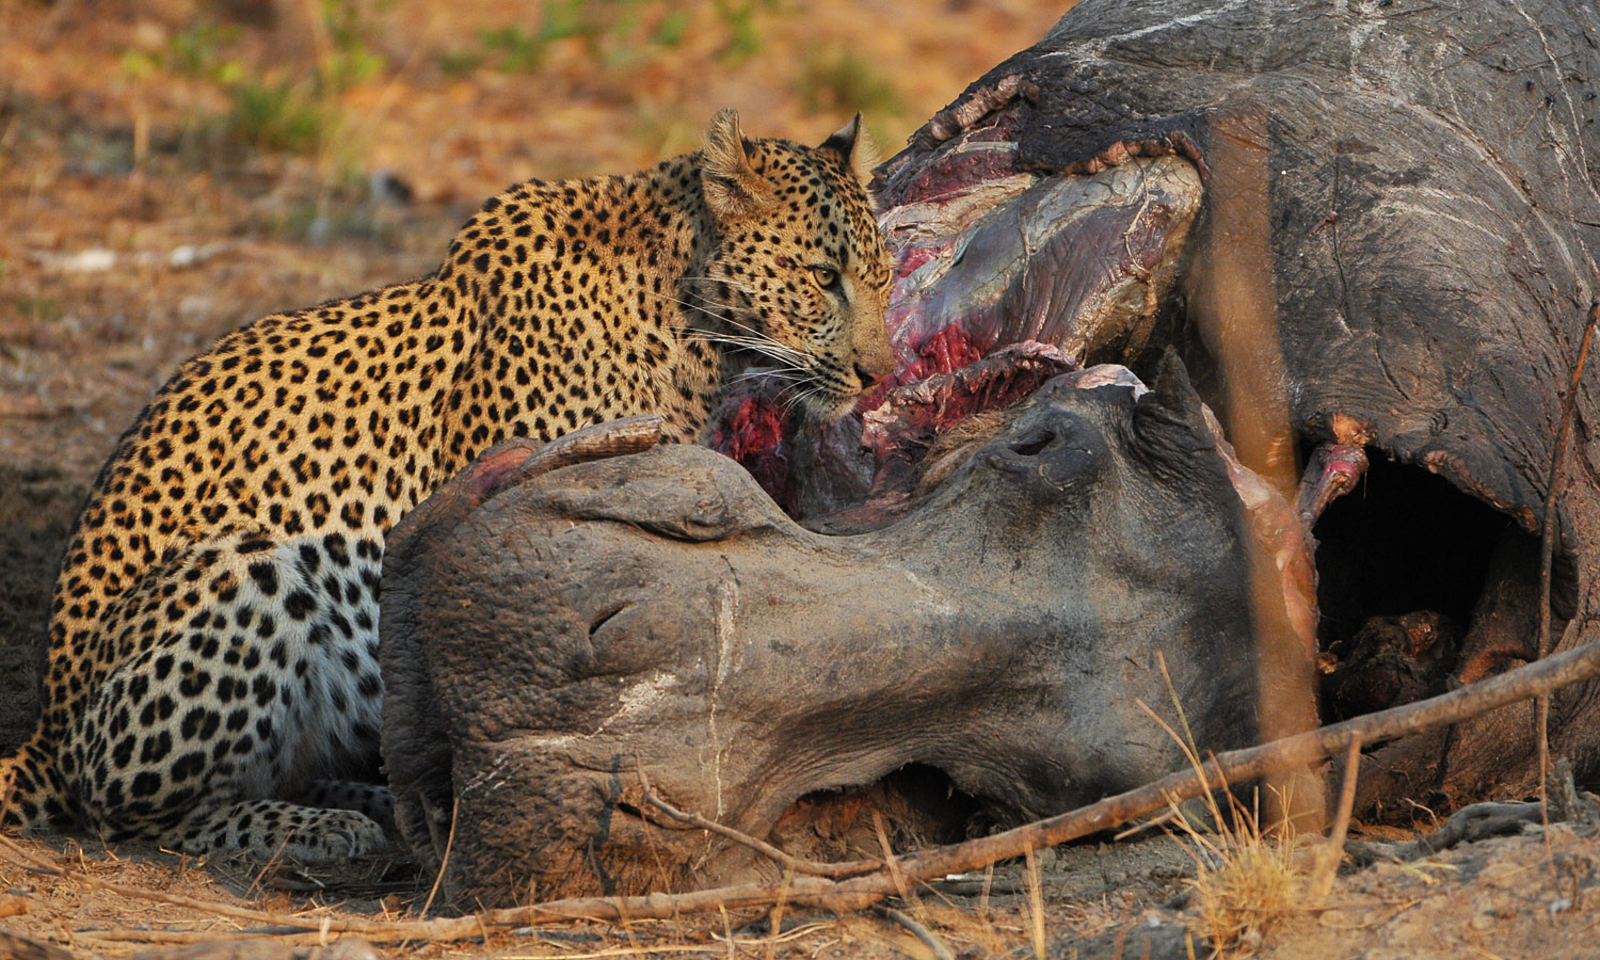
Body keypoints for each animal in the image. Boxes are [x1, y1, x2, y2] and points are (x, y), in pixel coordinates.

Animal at [0, 109, 894, 861]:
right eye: (823, 277)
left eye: (884, 278)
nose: (879, 373)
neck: (688, 320)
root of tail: (47, 726)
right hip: (245, 570)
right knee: (138, 818)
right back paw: (323, 830)